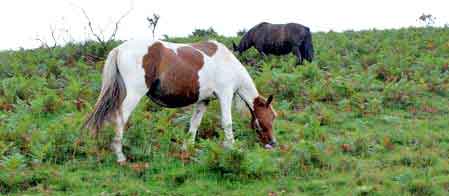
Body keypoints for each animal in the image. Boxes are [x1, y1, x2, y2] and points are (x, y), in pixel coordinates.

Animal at [82, 39, 274, 164]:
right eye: (268, 118)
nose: (273, 144)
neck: (227, 62)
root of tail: (119, 49)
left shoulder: (203, 101)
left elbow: (194, 124)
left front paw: (187, 150)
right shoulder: (225, 94)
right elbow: (227, 123)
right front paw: (232, 148)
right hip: (133, 95)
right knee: (120, 119)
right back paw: (120, 156)